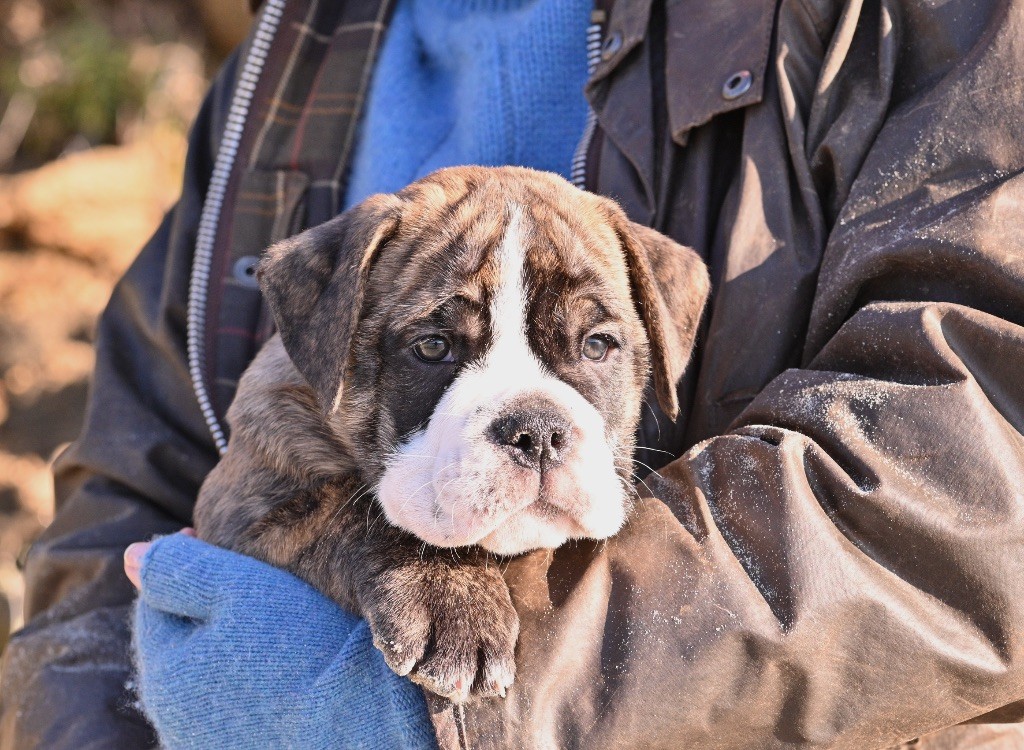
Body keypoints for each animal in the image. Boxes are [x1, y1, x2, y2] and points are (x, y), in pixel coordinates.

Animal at [192, 165, 708, 704]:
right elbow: (354, 513)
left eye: (596, 345)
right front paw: (448, 599)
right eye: (433, 347)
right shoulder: (245, 506)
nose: (537, 431)